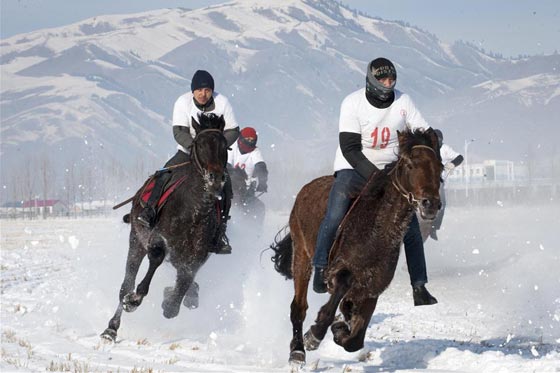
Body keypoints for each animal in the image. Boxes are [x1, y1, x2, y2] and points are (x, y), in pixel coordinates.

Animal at [270, 127, 444, 364]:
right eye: (409, 164)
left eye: (440, 166)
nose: (430, 204)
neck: (375, 232)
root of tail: (306, 189)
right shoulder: (339, 272)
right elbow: (337, 295)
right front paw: (314, 335)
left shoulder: (371, 290)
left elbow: (355, 340)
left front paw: (340, 328)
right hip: (301, 256)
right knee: (298, 307)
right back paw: (297, 350)